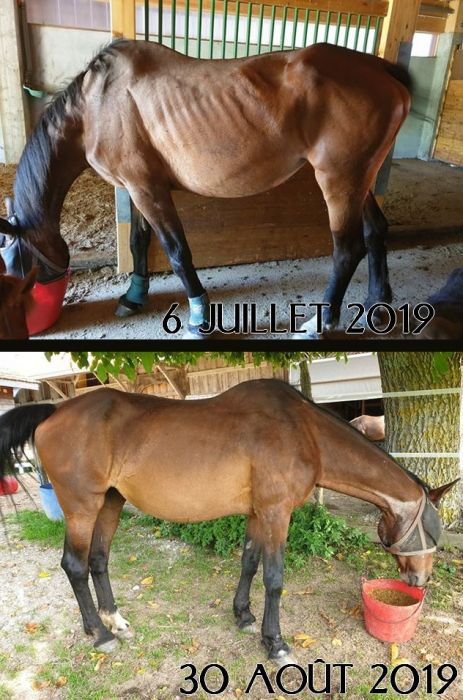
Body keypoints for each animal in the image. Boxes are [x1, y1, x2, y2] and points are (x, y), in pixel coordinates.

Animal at [0, 40, 411, 338]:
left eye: (18, 264)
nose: (22, 326)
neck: (96, 106)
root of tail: (382, 70)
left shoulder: (148, 190)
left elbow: (177, 251)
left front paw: (199, 318)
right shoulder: (137, 188)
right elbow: (138, 241)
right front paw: (134, 297)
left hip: (339, 179)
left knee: (347, 250)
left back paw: (319, 324)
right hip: (360, 180)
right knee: (376, 231)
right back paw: (376, 304)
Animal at [0, 379, 458, 662]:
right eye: (433, 531)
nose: (421, 582)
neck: (304, 431)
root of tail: (54, 410)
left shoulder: (258, 513)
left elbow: (249, 563)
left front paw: (243, 616)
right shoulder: (276, 513)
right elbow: (274, 578)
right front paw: (275, 643)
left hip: (110, 503)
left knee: (98, 560)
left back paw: (115, 620)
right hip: (82, 508)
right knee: (74, 566)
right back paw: (101, 633)